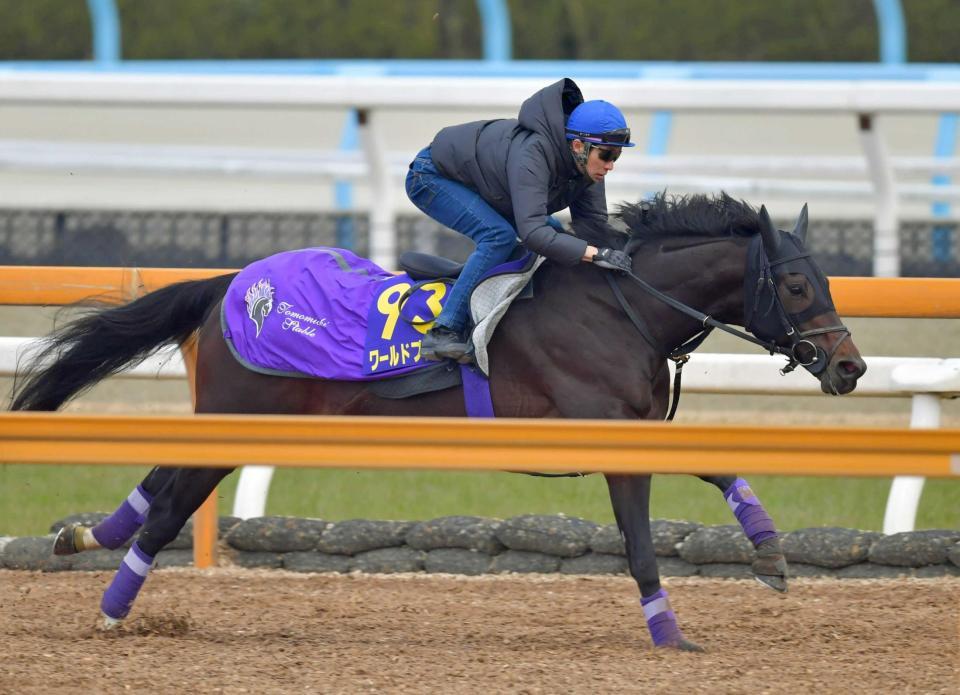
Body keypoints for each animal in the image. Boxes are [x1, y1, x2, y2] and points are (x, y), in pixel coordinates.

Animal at [11, 192, 866, 652]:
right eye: (796, 286)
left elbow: (715, 470)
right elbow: (644, 543)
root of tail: (230, 284)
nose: (851, 366)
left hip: (231, 418)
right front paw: (675, 630)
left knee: (159, 484)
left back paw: (85, 538)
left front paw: (768, 551)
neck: (618, 307)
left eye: (827, 281)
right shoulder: (609, 433)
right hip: (241, 415)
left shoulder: (635, 426)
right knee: (171, 504)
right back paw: (112, 608)